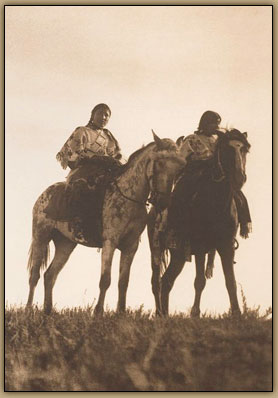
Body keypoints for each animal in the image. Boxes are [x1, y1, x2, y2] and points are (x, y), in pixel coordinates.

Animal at [149, 129, 251, 316]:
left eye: (244, 150)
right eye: (226, 149)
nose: (239, 178)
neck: (215, 203)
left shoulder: (226, 246)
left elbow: (230, 282)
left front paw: (236, 313)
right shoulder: (200, 246)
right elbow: (199, 281)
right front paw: (195, 313)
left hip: (178, 255)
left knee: (166, 281)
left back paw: (165, 314)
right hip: (157, 250)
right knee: (156, 281)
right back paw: (160, 313)